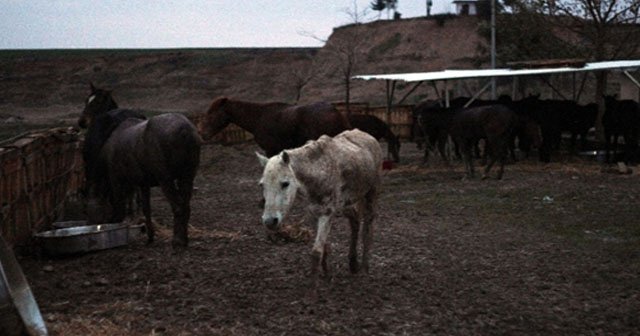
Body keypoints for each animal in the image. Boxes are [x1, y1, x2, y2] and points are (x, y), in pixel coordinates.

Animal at [79, 83, 201, 247]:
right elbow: (146, 208)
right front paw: (150, 235)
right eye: (86, 100)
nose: (82, 122)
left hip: (166, 179)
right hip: (187, 176)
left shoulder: (116, 180)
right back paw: (183, 238)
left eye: (97, 102)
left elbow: (119, 207)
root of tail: (185, 131)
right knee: (186, 206)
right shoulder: (143, 182)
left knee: (178, 207)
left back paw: (177, 240)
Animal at [256, 129, 384, 294]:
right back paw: (353, 264)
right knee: (355, 221)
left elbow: (316, 252)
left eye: (285, 183)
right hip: (346, 204)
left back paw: (364, 269)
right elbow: (324, 248)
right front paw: (327, 275)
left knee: (368, 228)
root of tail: (369, 137)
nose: (270, 221)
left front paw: (312, 291)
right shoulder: (314, 214)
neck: (318, 171)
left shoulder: (327, 215)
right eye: (262, 185)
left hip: (371, 196)